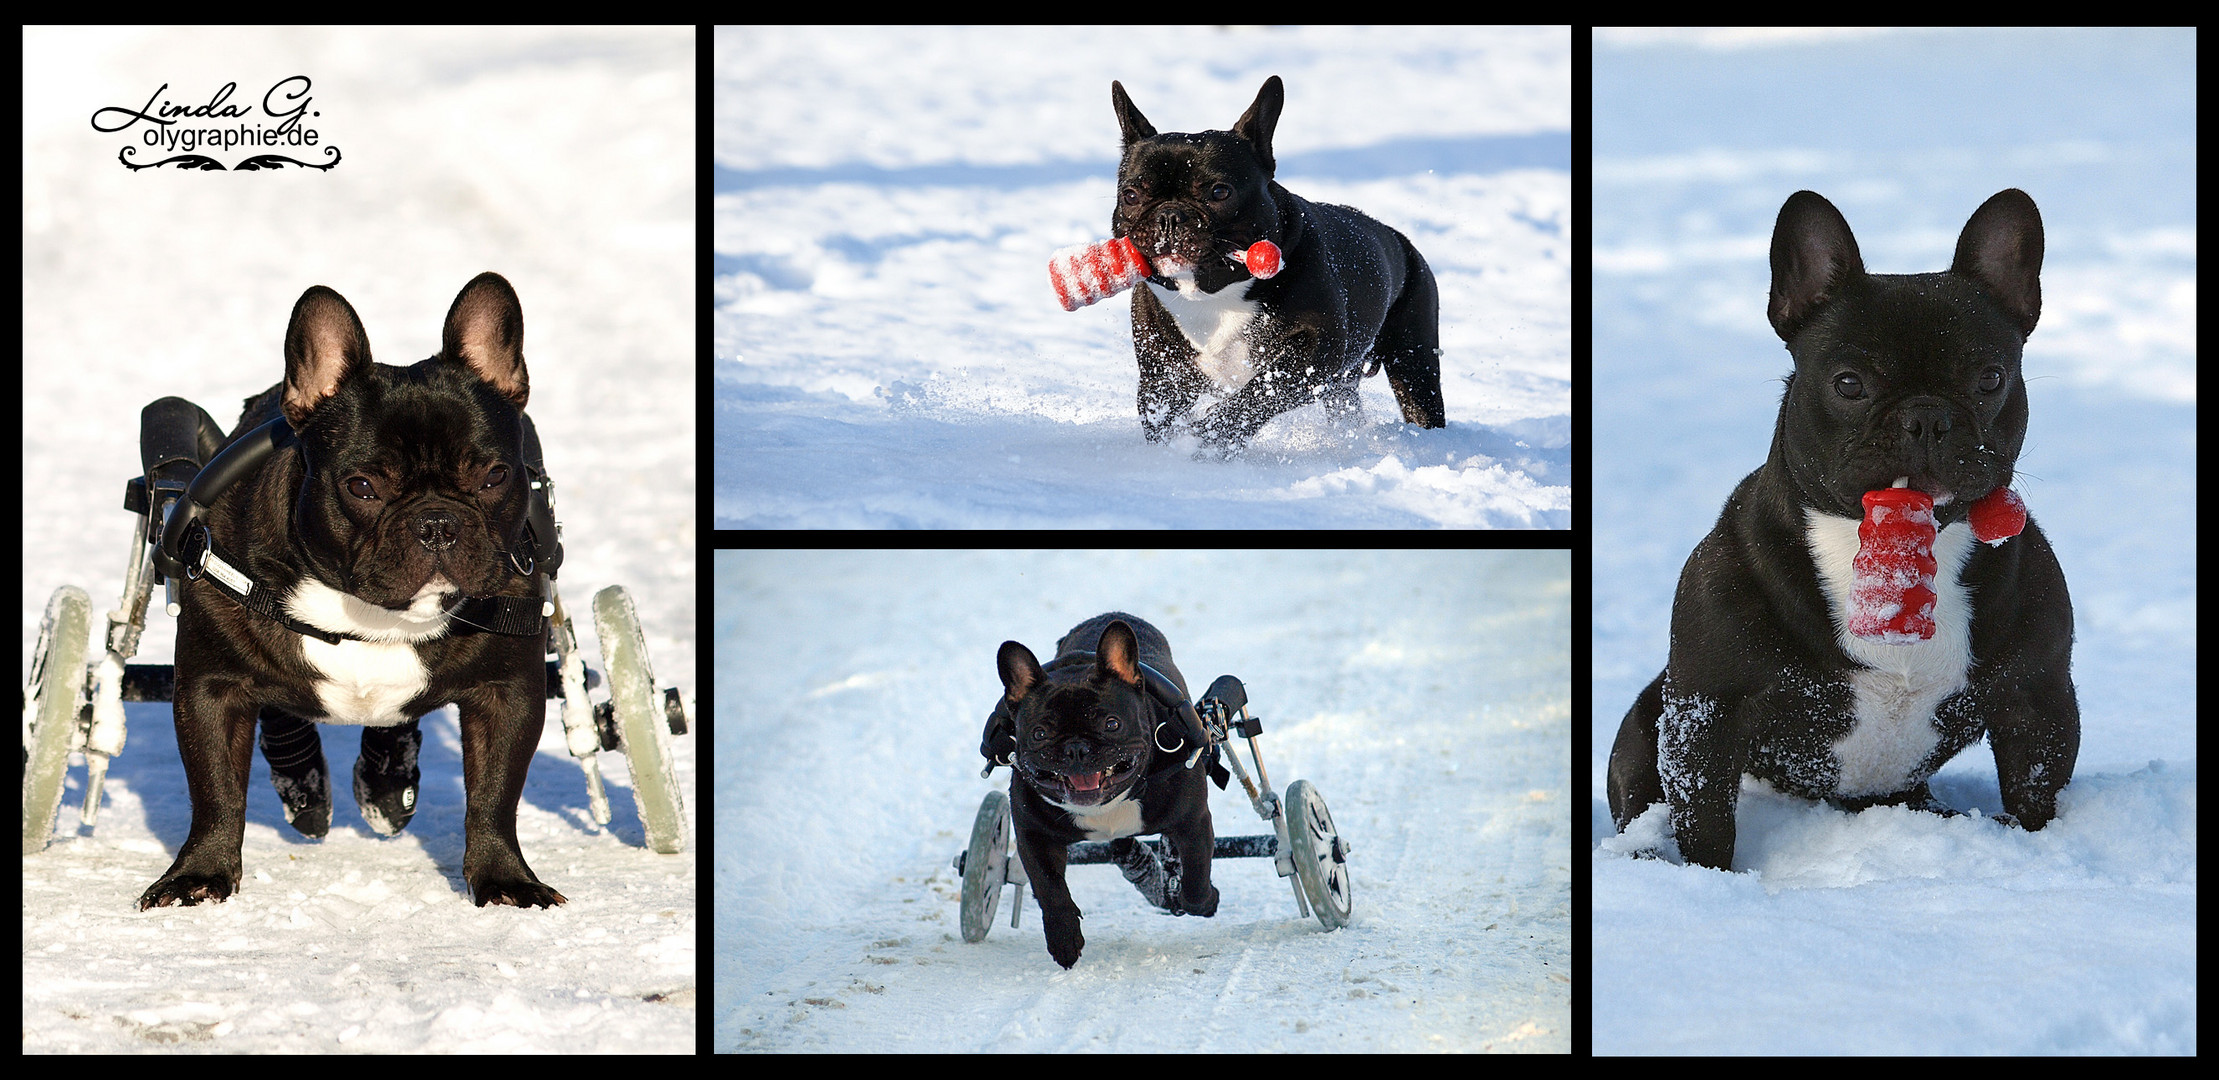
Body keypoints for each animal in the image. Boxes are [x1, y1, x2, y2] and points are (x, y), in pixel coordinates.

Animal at [998, 616, 1224, 971]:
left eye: (1112, 724)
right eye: (1039, 733)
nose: (1076, 748)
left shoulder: (1193, 823)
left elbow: (1197, 876)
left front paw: (1205, 899)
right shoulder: (1034, 836)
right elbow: (1050, 888)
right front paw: (1064, 940)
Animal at [1118, 73, 1446, 450]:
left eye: (1219, 192)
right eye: (1130, 195)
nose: (1169, 215)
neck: (1212, 295)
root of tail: (1398, 239)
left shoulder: (1313, 354)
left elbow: (1258, 395)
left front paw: (1212, 436)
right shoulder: (1162, 377)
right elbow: (1161, 418)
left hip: (1414, 356)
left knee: (1420, 398)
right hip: (1345, 385)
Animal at [1606, 191, 2068, 869]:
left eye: (1990, 379)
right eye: (1849, 383)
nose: (1926, 416)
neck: (1888, 545)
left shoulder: (2037, 701)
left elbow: (2036, 794)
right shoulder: (1705, 711)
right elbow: (1706, 819)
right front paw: (1711, 879)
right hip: (1647, 725)